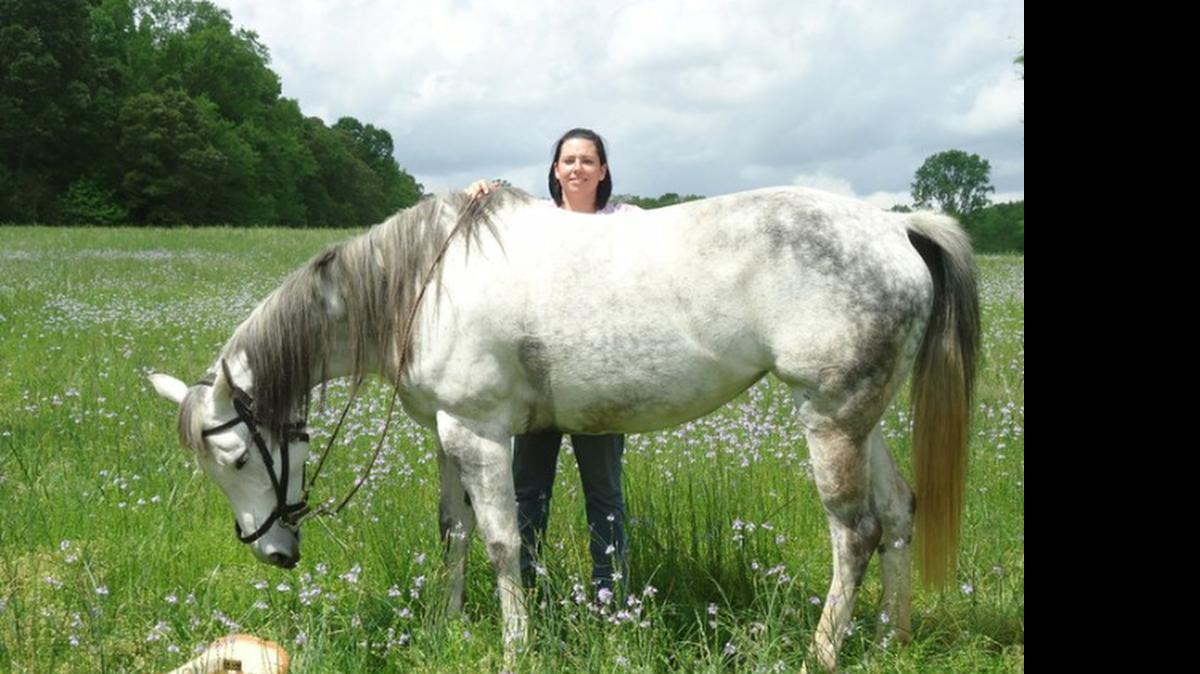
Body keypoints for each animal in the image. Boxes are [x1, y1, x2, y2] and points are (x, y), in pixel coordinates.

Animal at [149, 186, 978, 671]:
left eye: (234, 456)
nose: (274, 554)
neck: (420, 282)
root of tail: (897, 228)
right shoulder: (446, 434)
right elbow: (453, 531)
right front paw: (449, 623)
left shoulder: (480, 433)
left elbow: (501, 540)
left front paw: (515, 646)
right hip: (859, 417)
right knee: (898, 513)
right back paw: (893, 638)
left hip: (830, 418)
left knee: (855, 532)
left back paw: (823, 652)